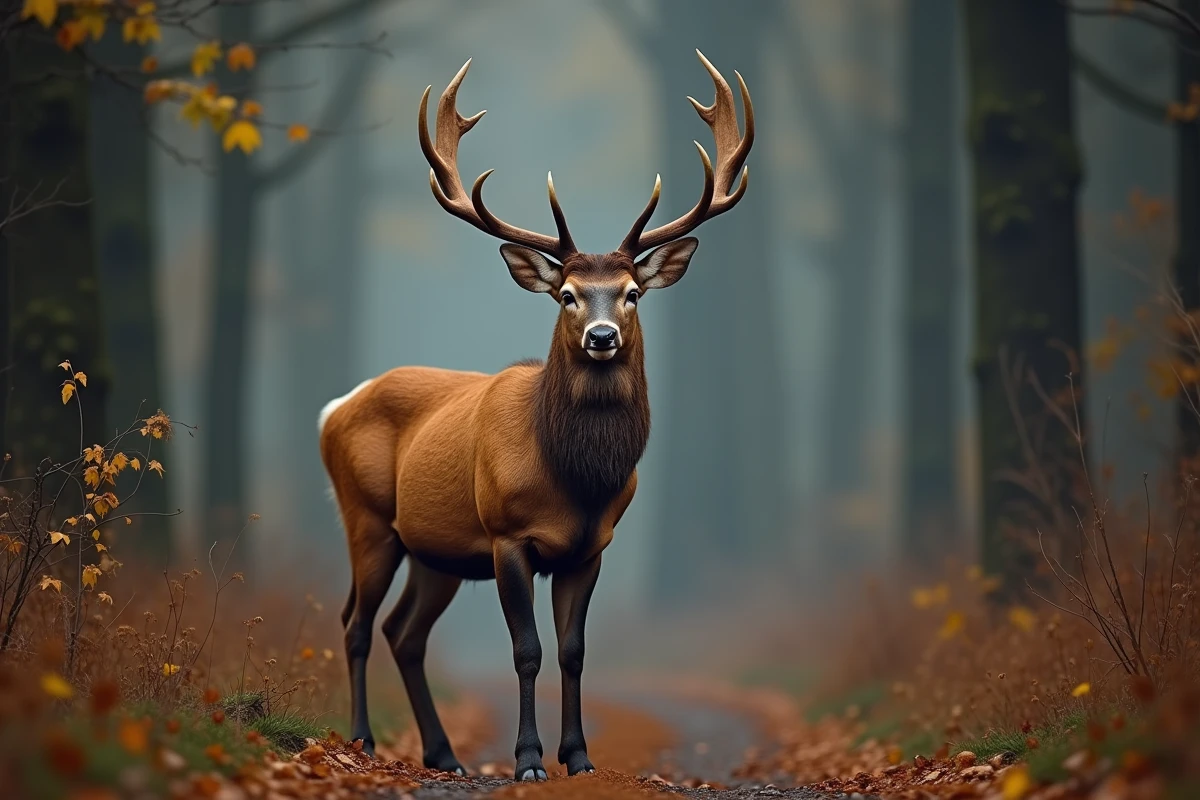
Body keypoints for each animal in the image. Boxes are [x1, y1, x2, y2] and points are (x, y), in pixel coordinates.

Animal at [318, 50, 754, 782]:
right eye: (568, 294)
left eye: (632, 293)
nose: (603, 336)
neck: (574, 480)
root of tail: (334, 407)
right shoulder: (506, 535)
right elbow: (527, 650)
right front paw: (527, 760)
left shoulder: (591, 546)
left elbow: (573, 651)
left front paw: (577, 757)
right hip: (367, 518)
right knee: (354, 622)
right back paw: (363, 742)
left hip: (436, 551)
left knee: (404, 633)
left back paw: (444, 754)